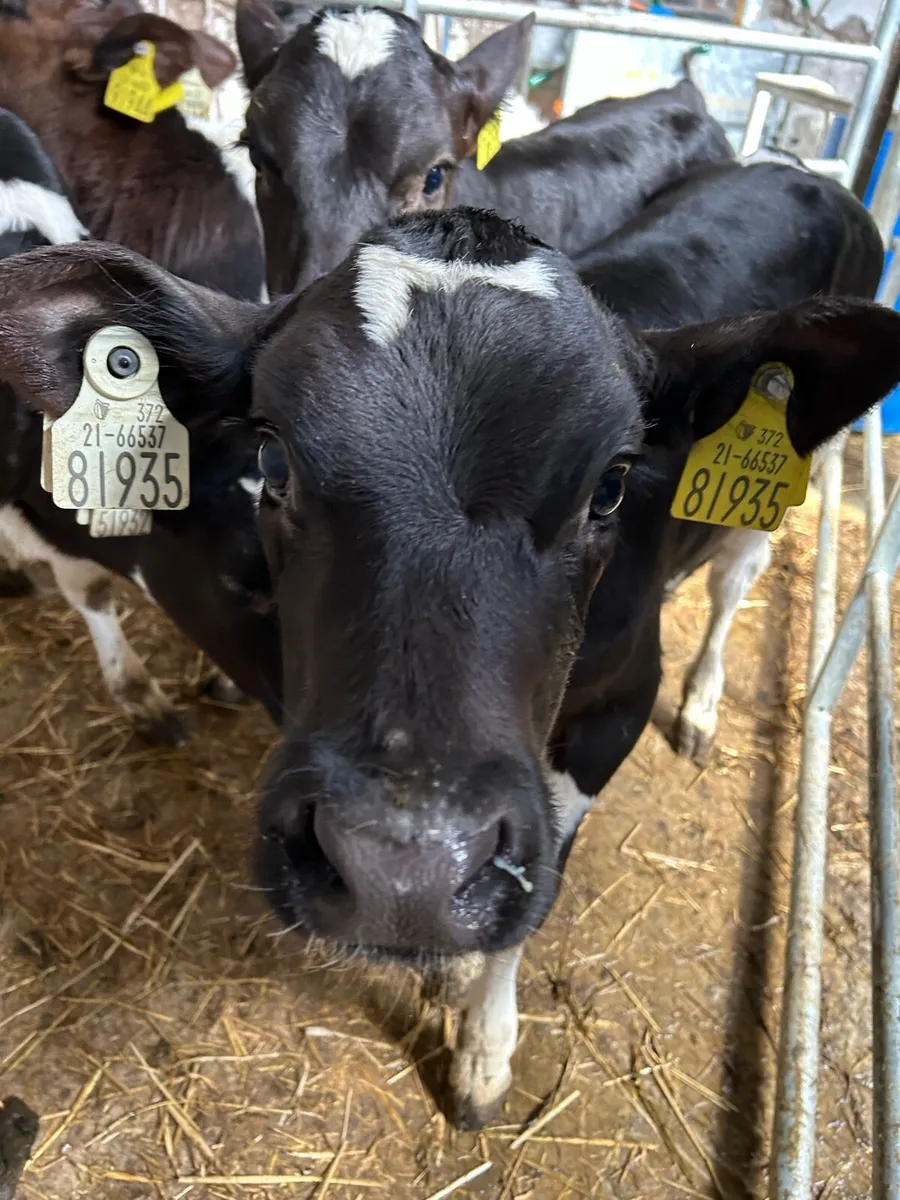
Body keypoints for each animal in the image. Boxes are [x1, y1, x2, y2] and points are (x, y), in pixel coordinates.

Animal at [0, 203, 896, 1127]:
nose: (405, 870)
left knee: (733, 581)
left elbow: (537, 893)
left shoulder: (615, 711)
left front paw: (483, 1049)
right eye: (272, 459)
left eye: (610, 484)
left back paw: (703, 704)